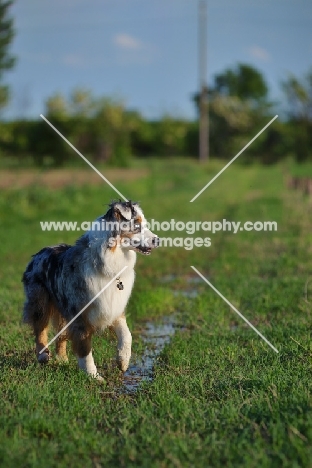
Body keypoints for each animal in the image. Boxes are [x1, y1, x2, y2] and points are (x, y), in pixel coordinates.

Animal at [22, 200, 158, 380]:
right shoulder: (80, 315)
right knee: (40, 328)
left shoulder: (113, 307)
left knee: (61, 335)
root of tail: (39, 252)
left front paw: (123, 361)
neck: (110, 262)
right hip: (40, 301)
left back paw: (62, 359)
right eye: (136, 225)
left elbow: (127, 335)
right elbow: (85, 348)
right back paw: (43, 355)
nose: (158, 240)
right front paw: (93, 377)